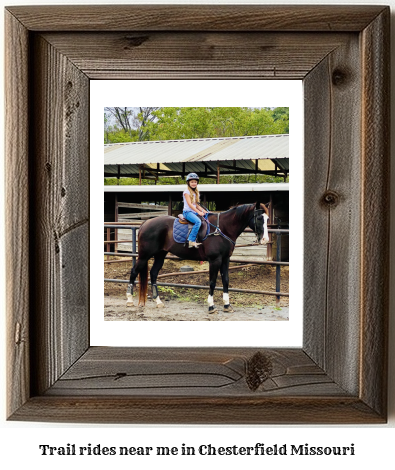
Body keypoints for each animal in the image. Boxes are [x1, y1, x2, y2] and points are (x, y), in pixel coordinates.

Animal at [127, 201, 270, 314]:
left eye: (267, 219)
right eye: (259, 218)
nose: (265, 239)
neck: (221, 229)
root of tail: (146, 222)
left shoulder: (225, 259)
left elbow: (226, 280)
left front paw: (227, 305)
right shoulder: (215, 260)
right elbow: (212, 282)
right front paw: (211, 306)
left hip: (160, 255)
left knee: (153, 273)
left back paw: (158, 301)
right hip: (144, 256)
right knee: (134, 272)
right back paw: (129, 300)